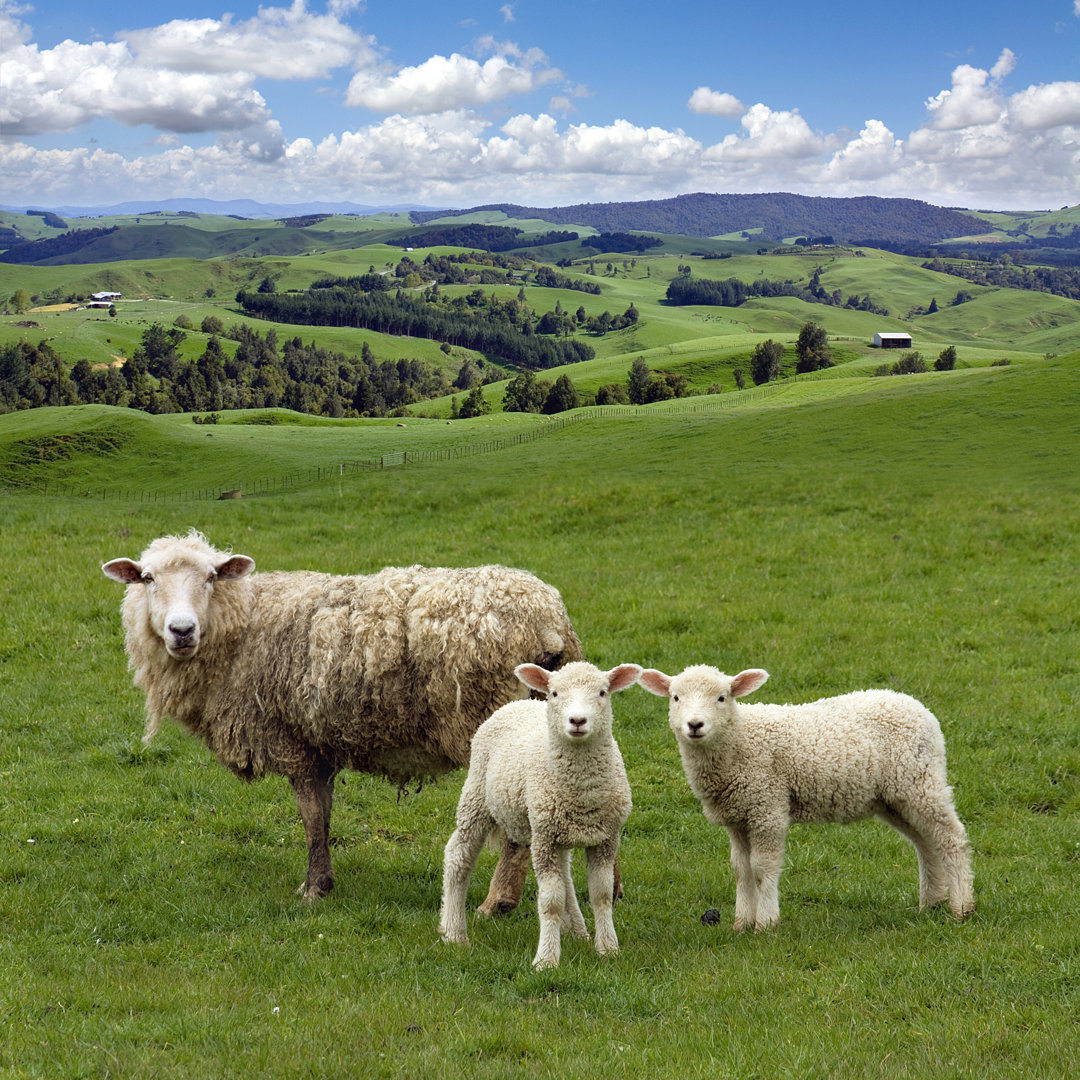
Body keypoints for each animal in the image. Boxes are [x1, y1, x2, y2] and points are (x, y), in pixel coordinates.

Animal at [101, 529, 583, 907]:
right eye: (147, 579)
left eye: (210, 577)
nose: (181, 631)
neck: (241, 626)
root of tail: (548, 623)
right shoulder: (319, 743)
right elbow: (325, 814)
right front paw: (324, 879)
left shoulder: (291, 740)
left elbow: (311, 816)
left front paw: (314, 888)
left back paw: (497, 902)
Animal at [439, 661, 641, 970]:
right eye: (555, 693)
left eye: (602, 692)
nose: (577, 721)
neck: (582, 791)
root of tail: (521, 702)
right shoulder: (544, 839)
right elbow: (550, 901)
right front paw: (546, 960)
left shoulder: (605, 838)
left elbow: (602, 894)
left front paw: (607, 948)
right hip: (478, 796)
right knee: (458, 855)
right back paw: (453, 932)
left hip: (554, 827)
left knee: (565, 876)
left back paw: (578, 932)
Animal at [639, 665, 974, 931]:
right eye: (675, 697)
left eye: (722, 698)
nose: (695, 725)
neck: (740, 741)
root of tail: (919, 708)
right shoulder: (738, 815)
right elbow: (741, 870)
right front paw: (742, 923)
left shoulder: (767, 807)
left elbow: (762, 867)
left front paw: (766, 923)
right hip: (894, 797)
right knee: (925, 843)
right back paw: (931, 902)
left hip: (920, 781)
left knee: (951, 838)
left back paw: (961, 907)